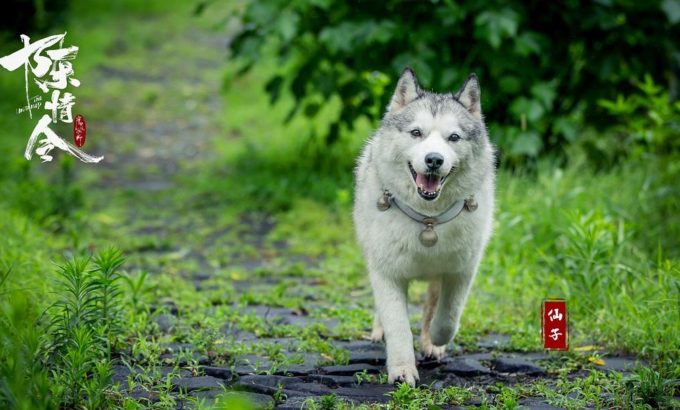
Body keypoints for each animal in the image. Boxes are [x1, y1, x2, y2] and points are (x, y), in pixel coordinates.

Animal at [356, 67, 494, 384]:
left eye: (453, 137)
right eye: (416, 133)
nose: (434, 159)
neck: (428, 220)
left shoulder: (461, 271)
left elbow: (448, 316)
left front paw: (435, 338)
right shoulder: (387, 273)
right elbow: (397, 326)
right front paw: (402, 371)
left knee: (433, 304)